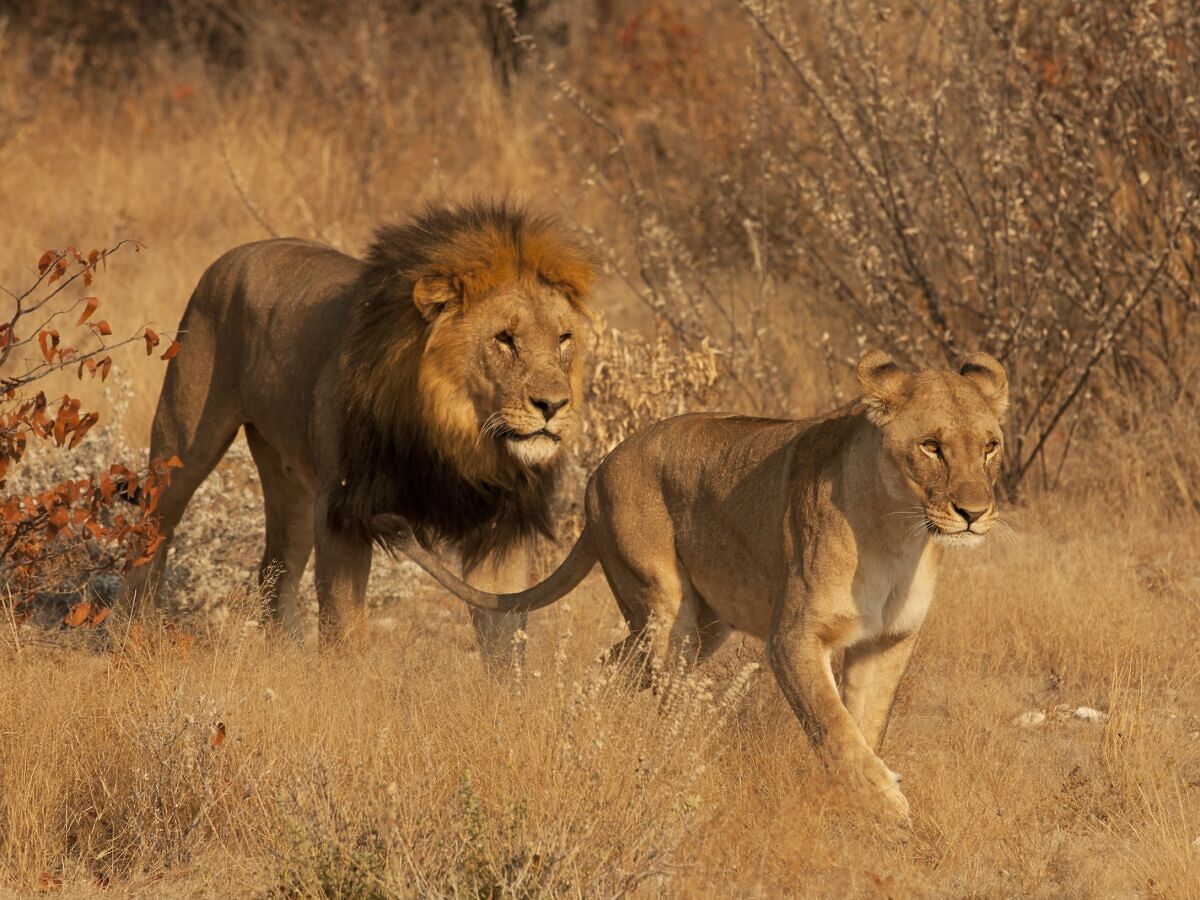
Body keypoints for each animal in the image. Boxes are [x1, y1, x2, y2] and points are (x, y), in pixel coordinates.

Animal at [122, 200, 595, 654]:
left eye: (563, 339)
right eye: (504, 339)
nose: (553, 405)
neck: (454, 437)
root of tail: (234, 254)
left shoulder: (499, 525)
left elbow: (504, 636)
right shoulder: (343, 508)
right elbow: (344, 628)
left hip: (290, 483)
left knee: (276, 572)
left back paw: (288, 659)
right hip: (183, 443)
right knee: (151, 532)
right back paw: (132, 634)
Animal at [375, 349, 1009, 816]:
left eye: (990, 447)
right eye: (931, 446)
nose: (974, 513)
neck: (898, 531)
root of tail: (599, 469)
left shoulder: (887, 642)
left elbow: (864, 725)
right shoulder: (793, 637)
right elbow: (833, 726)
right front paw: (884, 802)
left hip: (705, 625)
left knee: (612, 666)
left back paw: (585, 723)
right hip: (665, 607)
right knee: (662, 692)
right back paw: (667, 758)